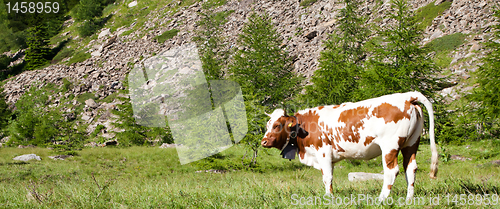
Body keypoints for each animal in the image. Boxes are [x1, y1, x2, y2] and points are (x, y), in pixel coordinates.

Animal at [262, 92, 438, 201]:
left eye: (277, 125)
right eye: (267, 124)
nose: (264, 141)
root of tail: (407, 96)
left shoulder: (323, 152)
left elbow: (327, 177)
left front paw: (328, 198)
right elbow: (329, 177)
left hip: (390, 146)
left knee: (391, 171)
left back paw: (381, 198)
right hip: (411, 143)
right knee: (411, 168)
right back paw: (409, 199)